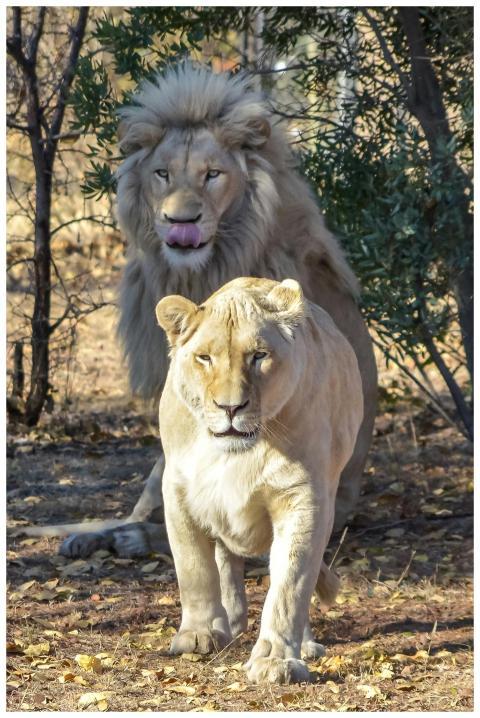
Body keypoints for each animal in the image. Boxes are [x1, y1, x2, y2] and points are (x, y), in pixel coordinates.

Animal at [19, 63, 376, 558]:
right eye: (162, 174)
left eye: (213, 175)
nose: (180, 221)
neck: (196, 271)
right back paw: (93, 537)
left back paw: (129, 539)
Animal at [156, 277, 364, 684]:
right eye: (204, 358)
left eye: (258, 356)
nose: (230, 407)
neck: (237, 453)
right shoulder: (178, 491)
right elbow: (194, 568)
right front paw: (198, 635)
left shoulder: (304, 498)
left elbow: (290, 585)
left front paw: (276, 660)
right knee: (225, 559)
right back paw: (230, 625)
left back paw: (305, 644)